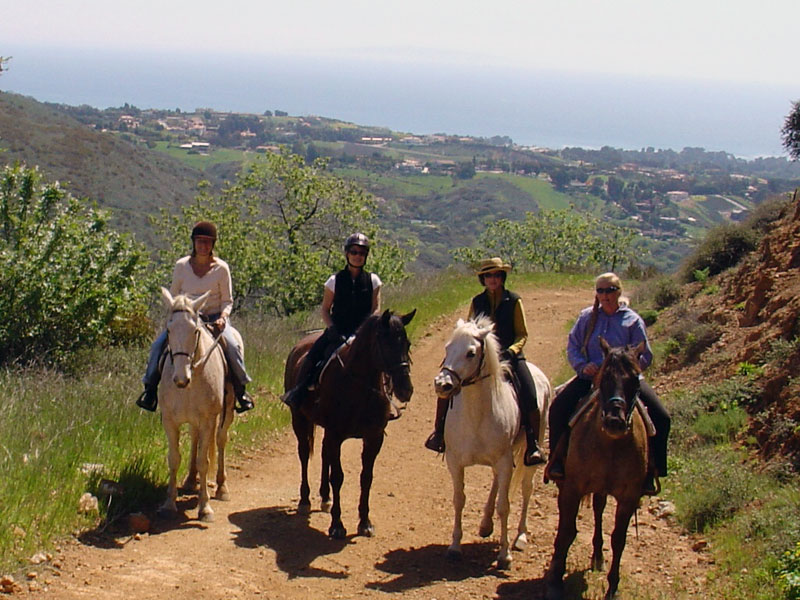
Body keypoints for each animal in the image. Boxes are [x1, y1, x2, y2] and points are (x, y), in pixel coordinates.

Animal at [158, 288, 234, 524]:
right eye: (169, 329)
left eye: (195, 331)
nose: (181, 379)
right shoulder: (170, 421)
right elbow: (174, 459)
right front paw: (168, 503)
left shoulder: (208, 420)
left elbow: (204, 461)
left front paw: (205, 508)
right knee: (195, 438)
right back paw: (191, 480)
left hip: (225, 414)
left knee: (220, 441)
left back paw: (221, 487)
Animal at [282, 310, 418, 540]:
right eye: (386, 343)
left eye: (406, 344)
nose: (405, 389)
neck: (358, 385)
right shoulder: (336, 435)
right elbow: (337, 477)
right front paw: (337, 525)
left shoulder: (373, 438)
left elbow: (366, 478)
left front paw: (365, 522)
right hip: (299, 419)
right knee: (304, 455)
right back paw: (305, 500)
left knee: (324, 454)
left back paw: (325, 497)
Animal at [434, 316, 552, 568]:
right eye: (448, 348)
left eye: (471, 353)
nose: (442, 384)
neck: (477, 413)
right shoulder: (455, 462)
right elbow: (459, 500)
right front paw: (455, 546)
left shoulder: (505, 461)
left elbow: (504, 506)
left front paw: (504, 554)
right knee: (498, 483)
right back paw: (486, 524)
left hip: (530, 450)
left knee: (526, 488)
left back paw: (520, 536)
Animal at [544, 338, 648, 600]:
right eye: (604, 377)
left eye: (635, 380)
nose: (614, 421)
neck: (610, 444)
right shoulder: (572, 488)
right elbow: (565, 531)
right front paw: (555, 580)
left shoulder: (629, 497)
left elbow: (619, 539)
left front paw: (612, 587)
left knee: (599, 510)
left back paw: (598, 557)